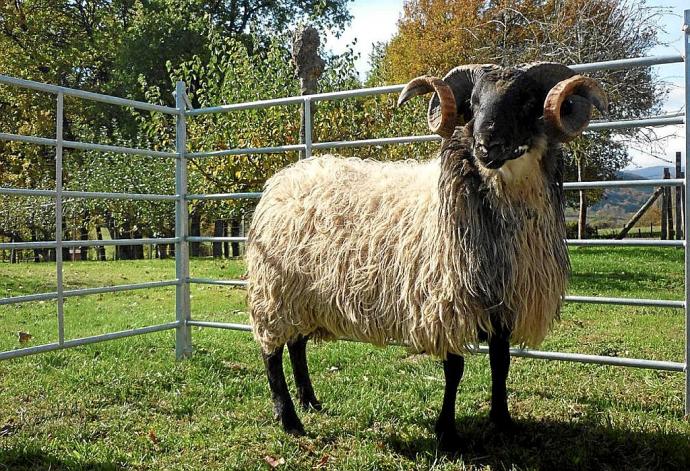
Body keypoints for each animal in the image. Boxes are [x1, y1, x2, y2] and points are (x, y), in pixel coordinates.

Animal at [245, 60, 604, 452]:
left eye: (525, 102)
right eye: (473, 104)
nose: (486, 144)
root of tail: (282, 180)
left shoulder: (503, 307)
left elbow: (501, 363)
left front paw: (502, 420)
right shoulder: (447, 303)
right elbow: (454, 370)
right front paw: (446, 432)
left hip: (304, 295)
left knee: (296, 345)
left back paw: (310, 401)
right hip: (274, 291)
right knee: (271, 352)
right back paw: (289, 418)